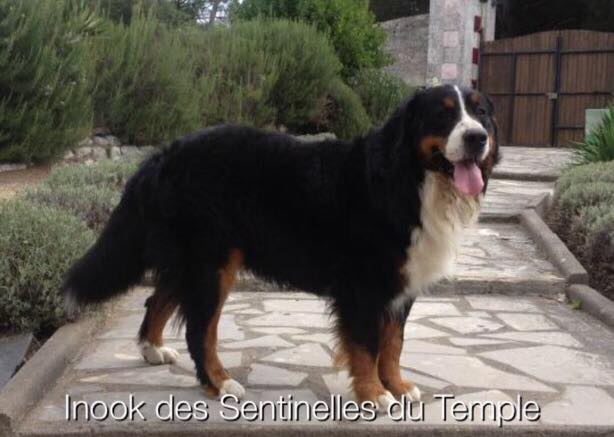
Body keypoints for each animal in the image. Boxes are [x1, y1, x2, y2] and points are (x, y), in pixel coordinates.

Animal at [65, 84, 502, 408]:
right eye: (444, 114)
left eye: (480, 113)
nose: (477, 137)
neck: (408, 179)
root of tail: (163, 154)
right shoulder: (363, 286)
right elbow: (366, 347)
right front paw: (374, 395)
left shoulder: (401, 284)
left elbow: (393, 344)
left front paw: (397, 385)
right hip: (212, 264)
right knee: (199, 331)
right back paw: (220, 383)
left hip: (192, 260)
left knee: (157, 301)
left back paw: (152, 349)